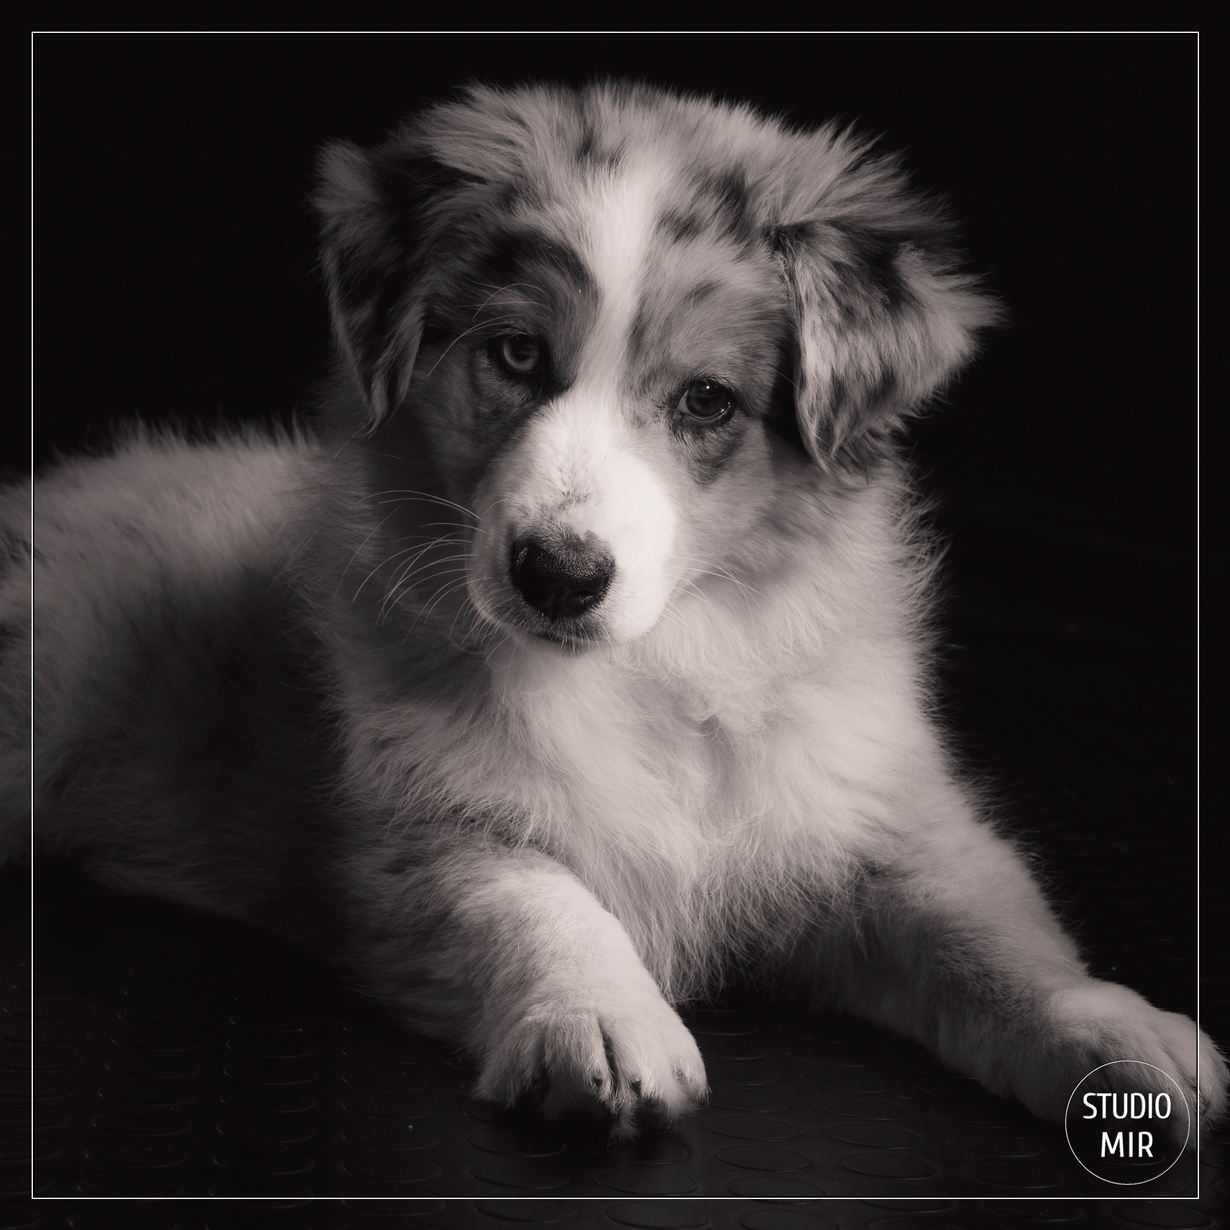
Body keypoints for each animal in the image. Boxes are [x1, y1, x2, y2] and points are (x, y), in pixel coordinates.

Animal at [4, 81, 1225, 1141]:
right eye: (515, 353)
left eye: (706, 403)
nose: (557, 575)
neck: (653, 667)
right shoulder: (424, 826)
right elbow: (534, 902)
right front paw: (599, 1017)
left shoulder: (872, 810)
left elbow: (994, 930)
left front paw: (1115, 1031)